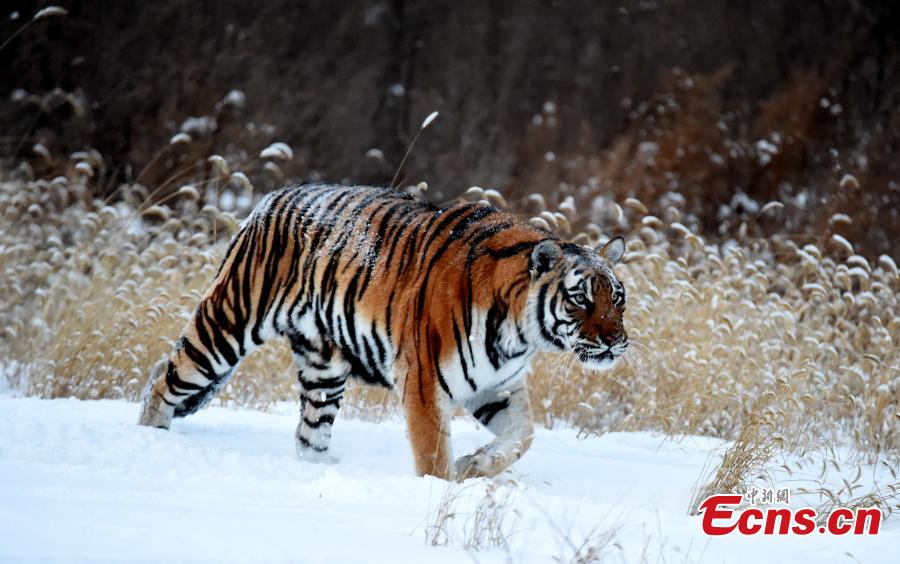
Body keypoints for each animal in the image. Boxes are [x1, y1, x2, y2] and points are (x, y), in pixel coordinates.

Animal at [138, 183, 628, 480]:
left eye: (617, 298)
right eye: (580, 298)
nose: (614, 341)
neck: (516, 335)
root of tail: (267, 200)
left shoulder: (497, 387)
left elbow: (523, 436)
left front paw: (475, 465)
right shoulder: (425, 383)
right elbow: (432, 454)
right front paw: (443, 489)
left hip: (324, 369)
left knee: (309, 433)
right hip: (227, 324)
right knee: (164, 380)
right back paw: (149, 440)